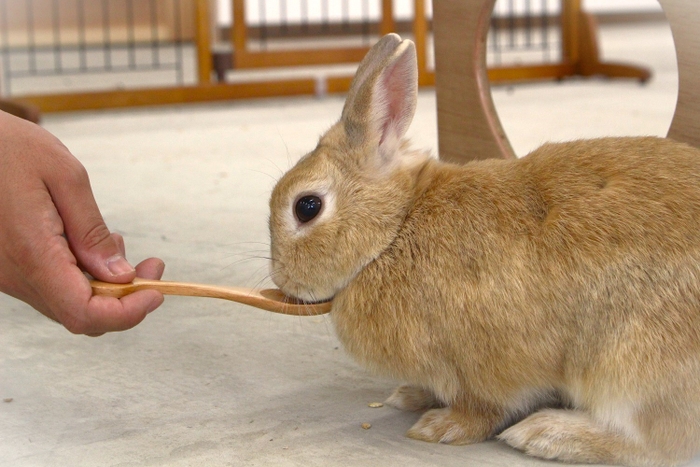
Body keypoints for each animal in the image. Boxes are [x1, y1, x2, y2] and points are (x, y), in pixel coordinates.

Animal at [268, 33, 700, 467]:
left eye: (307, 207)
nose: (282, 279)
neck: (395, 230)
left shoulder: (489, 366)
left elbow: (484, 408)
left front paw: (441, 427)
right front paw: (410, 395)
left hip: (628, 367)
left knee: (659, 443)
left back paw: (545, 434)